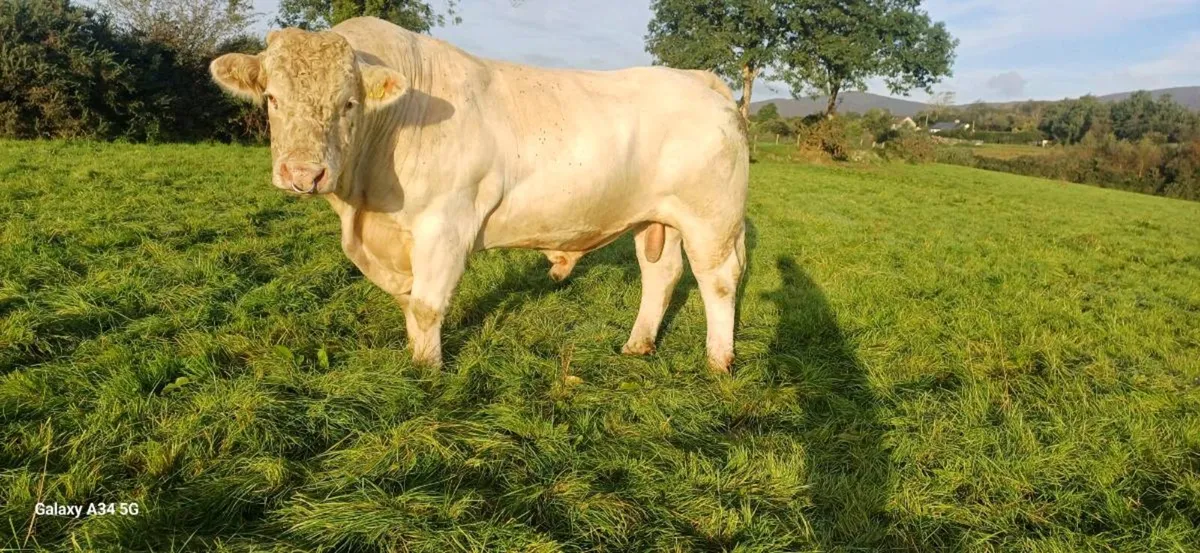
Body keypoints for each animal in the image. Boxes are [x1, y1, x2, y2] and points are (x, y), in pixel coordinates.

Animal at [209, 17, 748, 372]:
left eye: (348, 103)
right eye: (273, 98)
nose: (304, 173)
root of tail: (698, 79)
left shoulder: (445, 224)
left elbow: (427, 305)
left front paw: (426, 373)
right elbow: (408, 302)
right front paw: (416, 355)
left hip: (711, 220)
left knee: (718, 281)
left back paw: (718, 359)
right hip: (657, 218)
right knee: (661, 274)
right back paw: (638, 345)